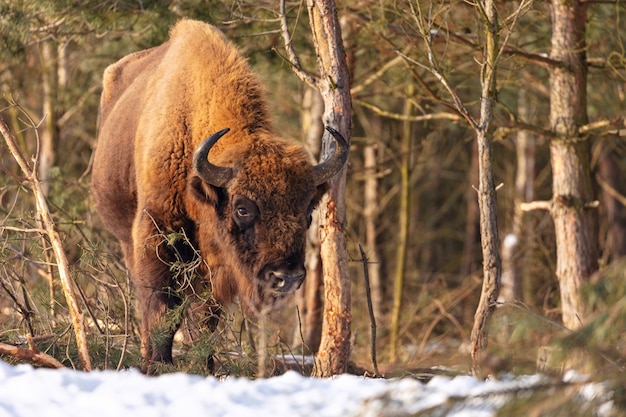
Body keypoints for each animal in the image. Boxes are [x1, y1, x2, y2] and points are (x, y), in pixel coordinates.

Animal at [90, 18, 348, 370]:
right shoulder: (156, 235)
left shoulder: (214, 265)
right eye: (242, 208)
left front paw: (206, 365)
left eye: (308, 213)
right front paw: (160, 365)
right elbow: (162, 309)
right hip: (126, 238)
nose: (287, 278)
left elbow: (206, 318)